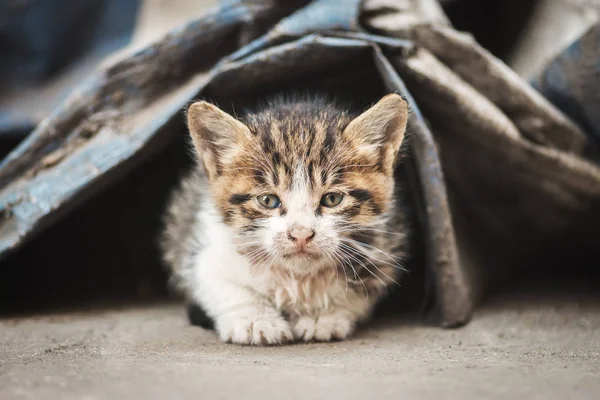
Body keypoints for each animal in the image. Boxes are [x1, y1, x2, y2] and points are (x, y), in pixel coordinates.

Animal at [162, 93, 410, 344]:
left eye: (332, 199)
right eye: (268, 200)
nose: (301, 234)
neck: (297, 277)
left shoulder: (384, 248)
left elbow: (360, 293)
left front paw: (323, 316)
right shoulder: (203, 246)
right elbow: (223, 285)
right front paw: (255, 319)